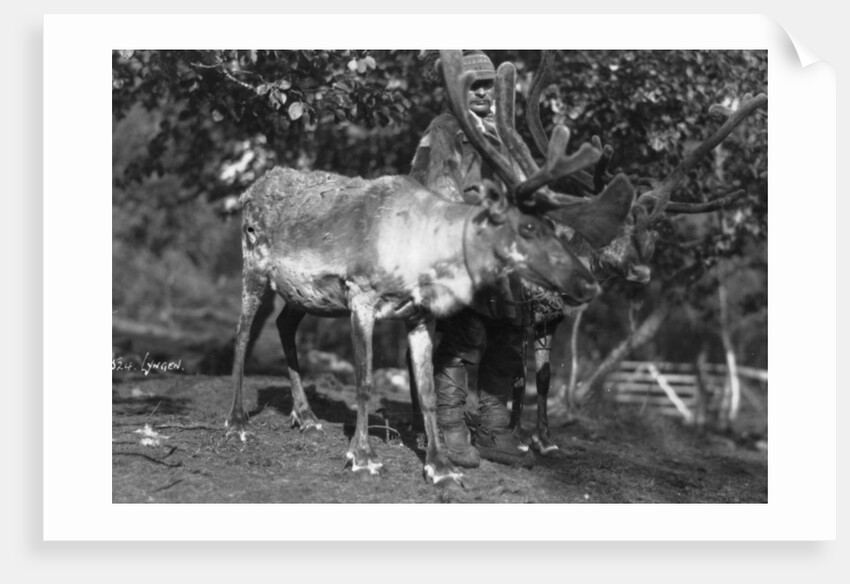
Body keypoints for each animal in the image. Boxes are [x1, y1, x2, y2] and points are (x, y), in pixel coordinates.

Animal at [225, 50, 637, 485]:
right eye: (527, 227)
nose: (586, 283)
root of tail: (251, 187)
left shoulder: (420, 314)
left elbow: (427, 389)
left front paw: (441, 466)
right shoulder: (361, 295)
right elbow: (365, 380)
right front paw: (363, 456)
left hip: (301, 293)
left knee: (284, 324)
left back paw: (306, 417)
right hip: (253, 267)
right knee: (242, 332)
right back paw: (237, 423)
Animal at [493, 51, 768, 454]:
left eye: (651, 234)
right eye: (608, 229)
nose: (642, 273)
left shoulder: (551, 318)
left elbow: (543, 377)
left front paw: (544, 438)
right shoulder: (523, 310)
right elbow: (516, 371)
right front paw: (513, 432)